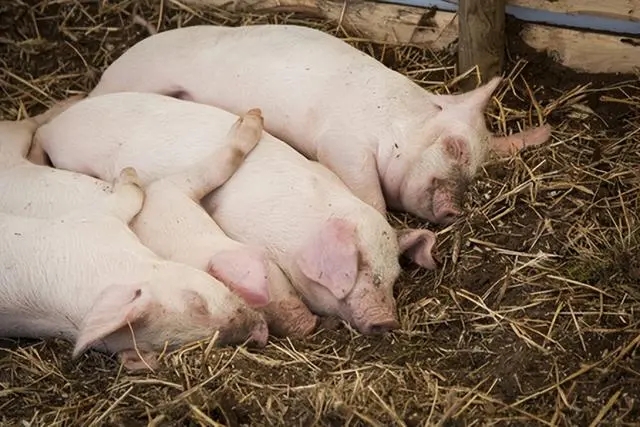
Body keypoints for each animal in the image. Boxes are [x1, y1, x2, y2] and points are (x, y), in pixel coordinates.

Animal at [0, 150, 268, 372]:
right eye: (197, 303)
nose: (261, 331)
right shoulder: (91, 222)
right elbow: (130, 196)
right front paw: (129, 174)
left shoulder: (91, 222)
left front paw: (128, 172)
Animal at [87, 24, 552, 227]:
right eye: (455, 147)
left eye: (483, 171)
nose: (458, 209)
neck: (397, 125)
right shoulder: (343, 142)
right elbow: (370, 195)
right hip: (136, 78)